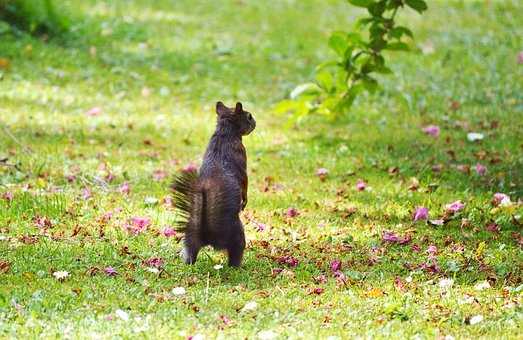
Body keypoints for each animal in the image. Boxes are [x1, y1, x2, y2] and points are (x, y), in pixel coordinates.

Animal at [172, 102, 256, 266]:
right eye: (249, 116)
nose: (255, 123)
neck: (225, 133)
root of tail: (208, 235)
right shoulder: (241, 154)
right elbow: (245, 181)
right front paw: (245, 200)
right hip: (237, 236)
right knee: (236, 252)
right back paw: (238, 266)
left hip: (190, 238)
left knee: (190, 252)